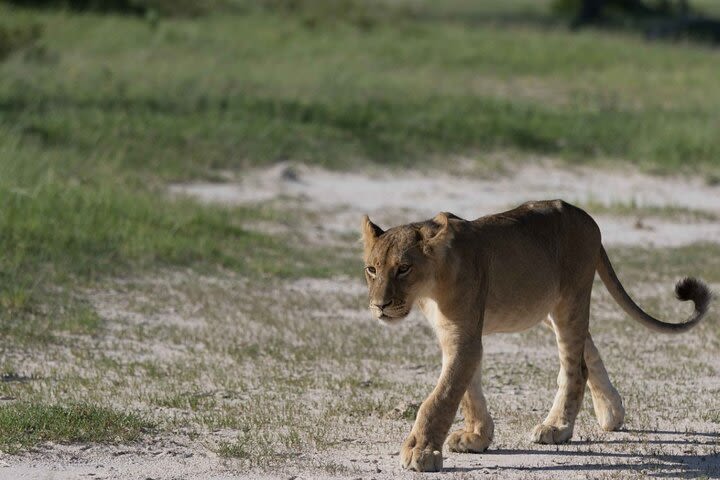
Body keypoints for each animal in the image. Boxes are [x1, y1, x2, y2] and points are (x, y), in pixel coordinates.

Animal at [362, 200, 712, 472]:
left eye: (404, 268)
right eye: (371, 269)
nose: (379, 306)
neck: (429, 288)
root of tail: (584, 215)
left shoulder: (464, 336)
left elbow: (440, 397)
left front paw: (420, 452)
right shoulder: (458, 335)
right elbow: (467, 388)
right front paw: (477, 436)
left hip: (570, 300)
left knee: (576, 368)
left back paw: (558, 427)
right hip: (547, 309)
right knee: (589, 347)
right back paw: (611, 413)